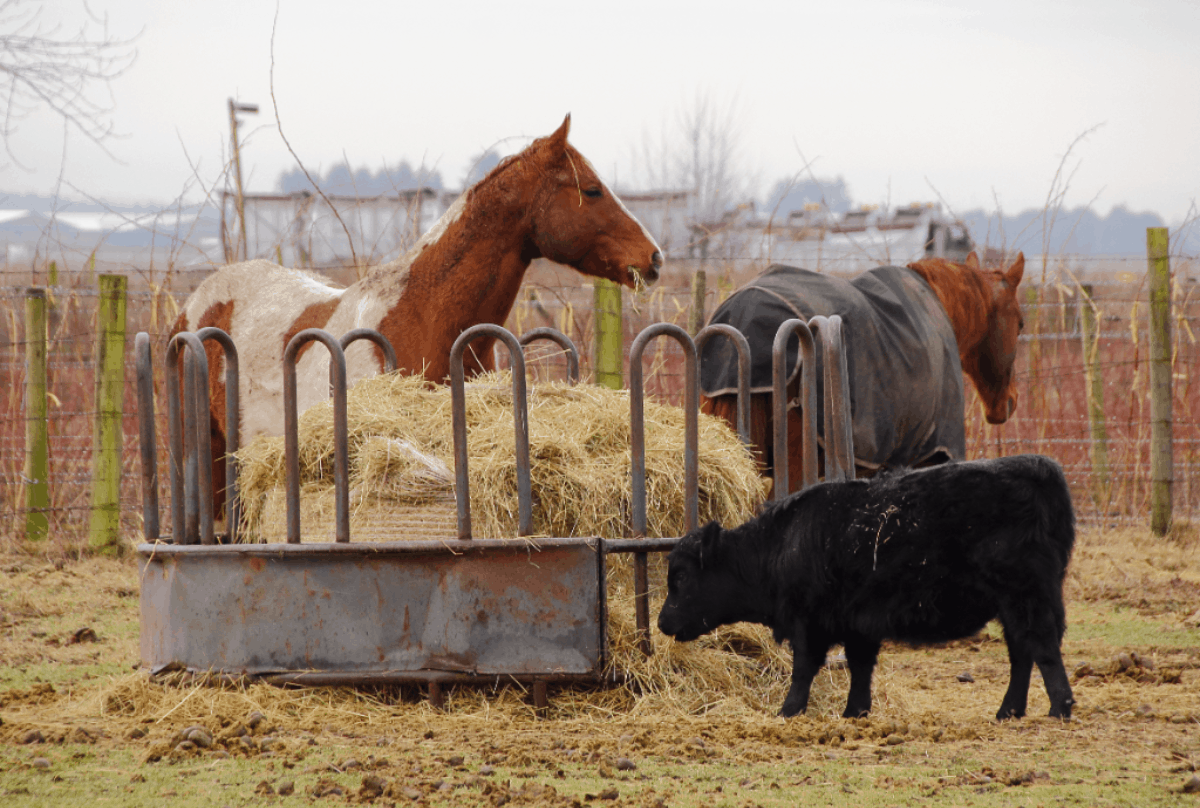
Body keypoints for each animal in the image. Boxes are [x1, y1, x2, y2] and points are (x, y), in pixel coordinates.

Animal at [657, 453, 1080, 720]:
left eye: (681, 577)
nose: (662, 622)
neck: (781, 543)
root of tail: (1038, 467)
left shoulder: (809, 625)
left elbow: (803, 669)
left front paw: (788, 711)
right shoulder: (858, 624)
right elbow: (860, 668)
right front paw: (854, 711)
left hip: (1026, 597)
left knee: (1042, 648)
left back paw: (1059, 707)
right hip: (1015, 605)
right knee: (1022, 653)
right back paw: (1009, 711)